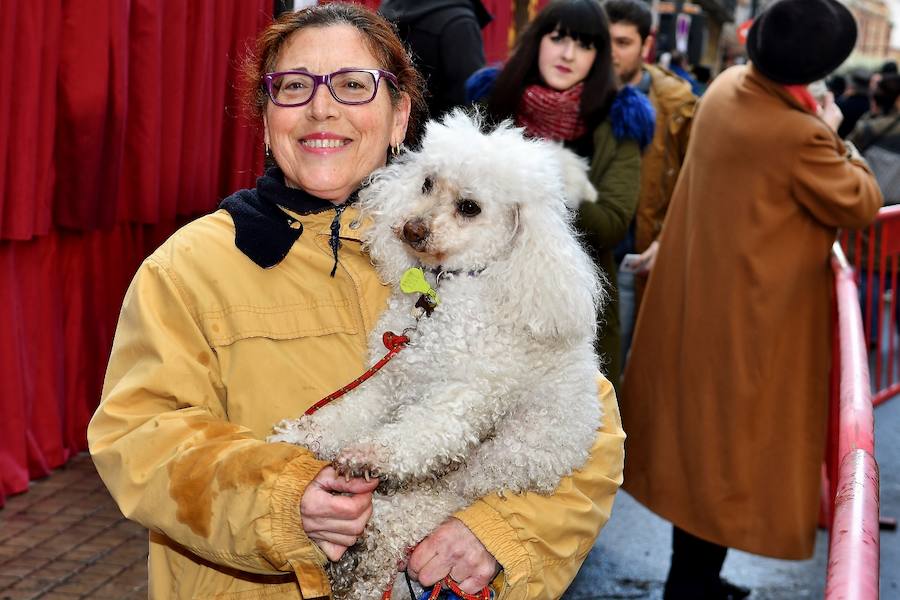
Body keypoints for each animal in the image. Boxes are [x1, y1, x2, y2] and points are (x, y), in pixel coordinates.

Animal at [268, 110, 604, 596]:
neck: (441, 294)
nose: (412, 228)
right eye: (426, 183)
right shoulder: (390, 375)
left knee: (398, 527)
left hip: (466, 483)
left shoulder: (462, 399)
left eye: (470, 207)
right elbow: (348, 412)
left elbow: (418, 433)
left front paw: (369, 456)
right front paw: (304, 433)